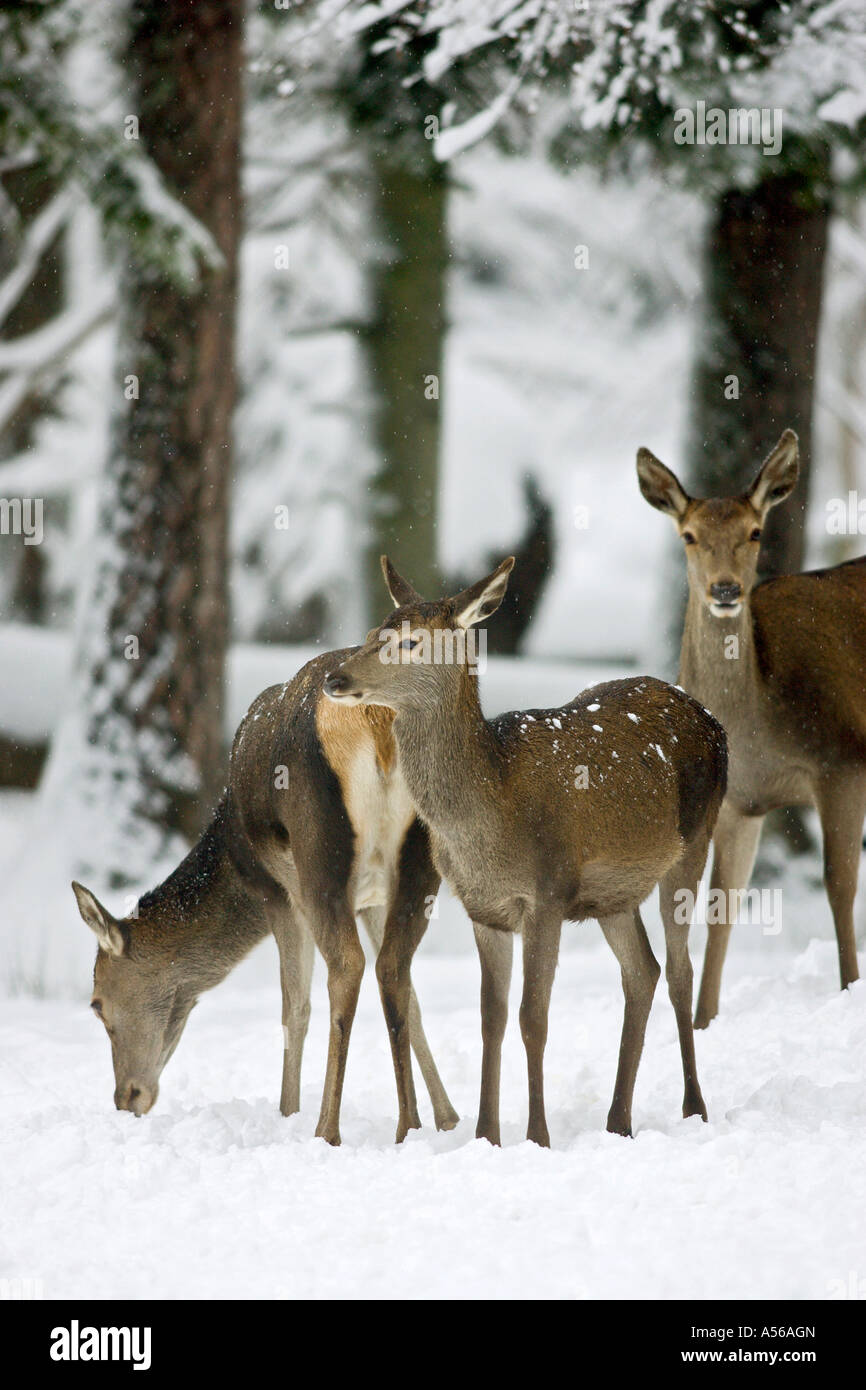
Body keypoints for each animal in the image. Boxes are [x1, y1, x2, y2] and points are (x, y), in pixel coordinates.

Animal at [70, 644, 461, 1145]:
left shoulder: (277, 892)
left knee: (346, 969)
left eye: (96, 1003)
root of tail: (375, 715)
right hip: (420, 859)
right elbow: (411, 1000)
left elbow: (294, 1005)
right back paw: (408, 1124)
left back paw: (326, 1128)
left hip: (318, 856)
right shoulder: (373, 898)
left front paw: (287, 1113)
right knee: (392, 967)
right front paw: (449, 1119)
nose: (127, 1097)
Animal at [322, 558, 728, 1145]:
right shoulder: (484, 908)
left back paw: (693, 1107)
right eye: (376, 630)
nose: (336, 679)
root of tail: (713, 720)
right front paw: (486, 1134)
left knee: (679, 971)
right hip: (613, 893)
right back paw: (617, 1120)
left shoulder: (547, 893)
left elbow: (532, 1018)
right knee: (642, 971)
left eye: (411, 641)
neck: (492, 815)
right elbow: (490, 1019)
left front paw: (537, 1135)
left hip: (694, 841)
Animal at [636, 428, 866, 1028]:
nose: (724, 590)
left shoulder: (842, 760)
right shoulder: (739, 801)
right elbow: (722, 904)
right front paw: (704, 1020)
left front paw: (849, 987)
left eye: (755, 531)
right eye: (689, 535)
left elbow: (839, 884)